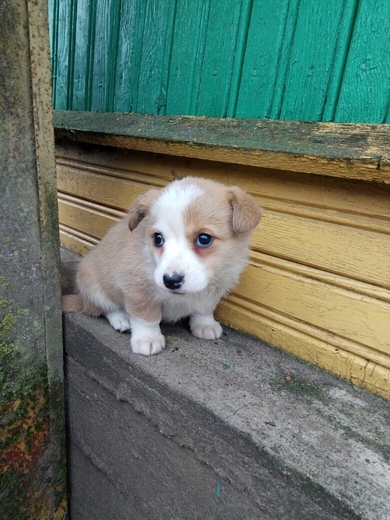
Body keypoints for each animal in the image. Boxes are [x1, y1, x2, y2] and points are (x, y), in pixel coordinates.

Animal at [63, 177, 262, 356]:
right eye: (158, 238)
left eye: (204, 239)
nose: (171, 281)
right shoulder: (137, 289)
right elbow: (146, 317)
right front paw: (148, 339)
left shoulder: (217, 285)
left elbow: (204, 308)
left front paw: (205, 325)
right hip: (93, 284)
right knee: (103, 308)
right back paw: (121, 319)